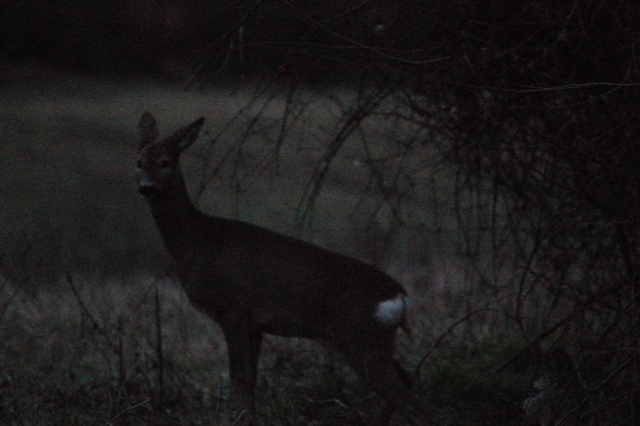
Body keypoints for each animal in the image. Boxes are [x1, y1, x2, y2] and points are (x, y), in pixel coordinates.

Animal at [136, 111, 430, 424]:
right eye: (139, 161)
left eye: (165, 161)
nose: (146, 187)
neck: (197, 241)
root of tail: (400, 297)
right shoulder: (255, 322)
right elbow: (250, 379)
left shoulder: (233, 308)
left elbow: (238, 379)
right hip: (377, 340)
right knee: (407, 380)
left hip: (360, 337)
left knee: (410, 401)